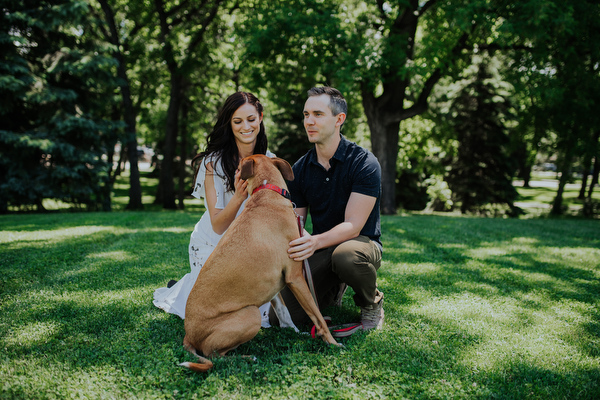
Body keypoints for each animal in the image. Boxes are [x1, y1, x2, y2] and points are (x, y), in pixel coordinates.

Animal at [180, 154, 340, 372]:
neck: (266, 192)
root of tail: (188, 335)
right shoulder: (295, 277)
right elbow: (317, 314)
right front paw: (332, 342)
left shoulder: (275, 285)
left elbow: (284, 313)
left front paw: (296, 332)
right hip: (251, 314)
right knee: (214, 354)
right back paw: (247, 358)